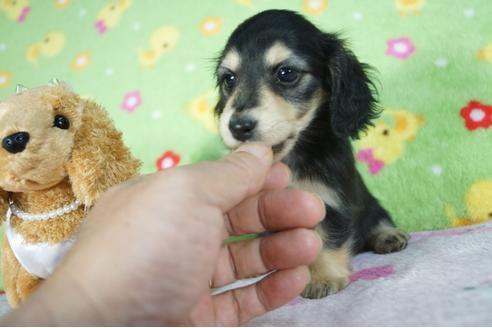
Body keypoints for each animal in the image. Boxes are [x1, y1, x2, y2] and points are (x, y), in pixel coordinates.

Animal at [213, 9, 410, 298]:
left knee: (378, 220)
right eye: (229, 79)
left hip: (371, 204)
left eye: (286, 73)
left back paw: (388, 236)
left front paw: (322, 278)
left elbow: (323, 241)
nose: (237, 127)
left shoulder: (329, 202)